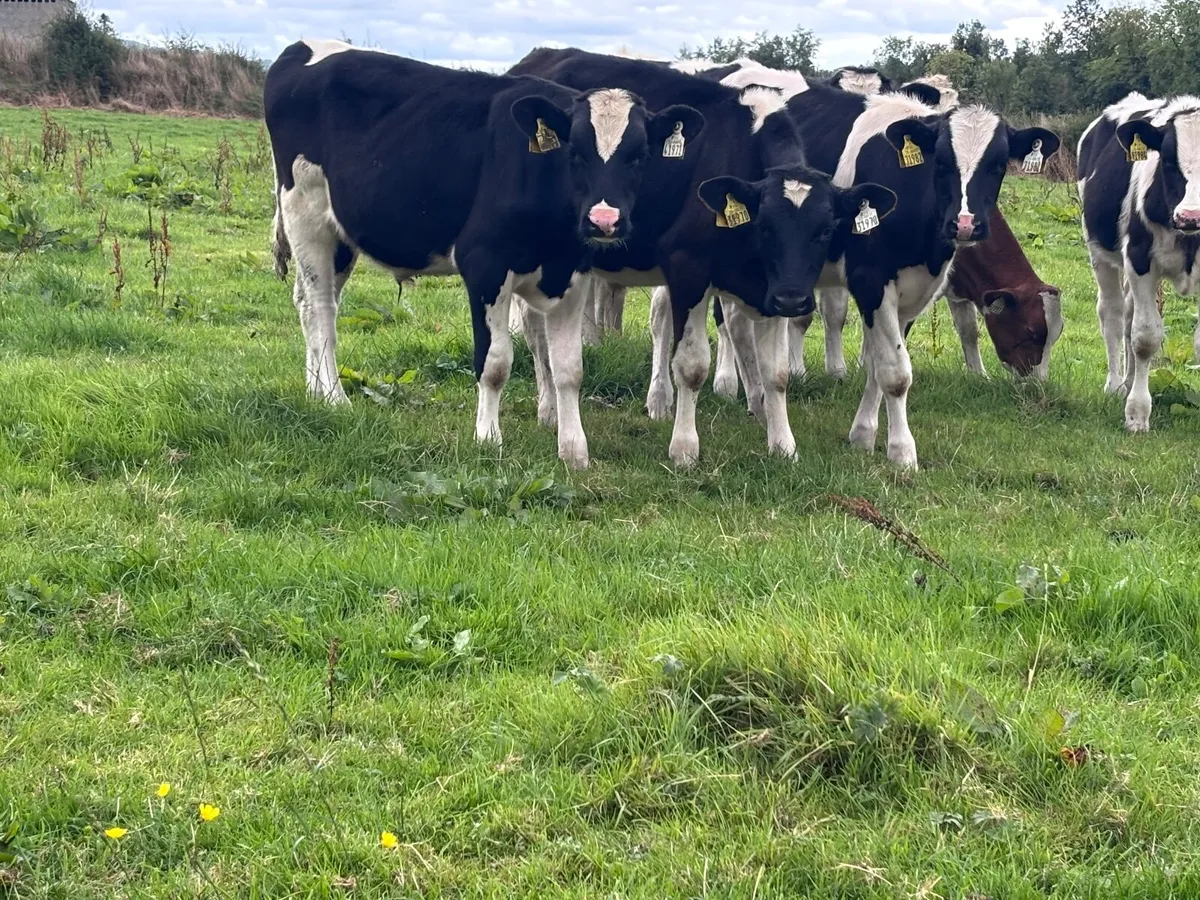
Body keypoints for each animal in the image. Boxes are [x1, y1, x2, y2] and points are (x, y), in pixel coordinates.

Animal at [266, 39, 704, 470]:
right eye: (575, 152)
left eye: (639, 156)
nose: (604, 220)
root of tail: (300, 49)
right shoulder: (484, 265)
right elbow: (493, 363)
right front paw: (488, 439)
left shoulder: (573, 275)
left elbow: (569, 369)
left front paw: (573, 449)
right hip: (306, 215)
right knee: (320, 308)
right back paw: (334, 398)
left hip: (340, 235)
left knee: (309, 301)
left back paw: (315, 391)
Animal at [508, 47, 897, 467]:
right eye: (765, 227)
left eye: (825, 230)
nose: (794, 299)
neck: (737, 150)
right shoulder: (688, 268)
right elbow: (692, 366)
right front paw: (684, 449)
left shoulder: (772, 287)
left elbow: (776, 373)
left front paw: (783, 445)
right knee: (535, 331)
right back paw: (549, 408)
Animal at [1079, 92, 1200, 431]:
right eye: (1168, 161)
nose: (1191, 216)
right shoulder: (1139, 258)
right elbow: (1145, 338)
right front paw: (1137, 414)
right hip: (1100, 253)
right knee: (1114, 314)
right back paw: (1116, 385)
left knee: (1130, 314)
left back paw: (1131, 379)